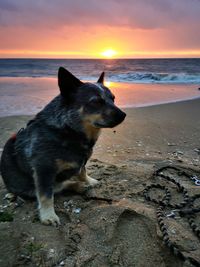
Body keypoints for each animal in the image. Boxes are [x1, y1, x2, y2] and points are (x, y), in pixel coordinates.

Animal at [0, 67, 126, 226]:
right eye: (96, 102)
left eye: (113, 99)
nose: (123, 115)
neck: (69, 131)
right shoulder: (44, 170)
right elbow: (46, 195)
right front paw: (48, 215)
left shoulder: (81, 160)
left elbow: (82, 170)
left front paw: (88, 181)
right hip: (27, 188)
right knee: (54, 189)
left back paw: (80, 186)